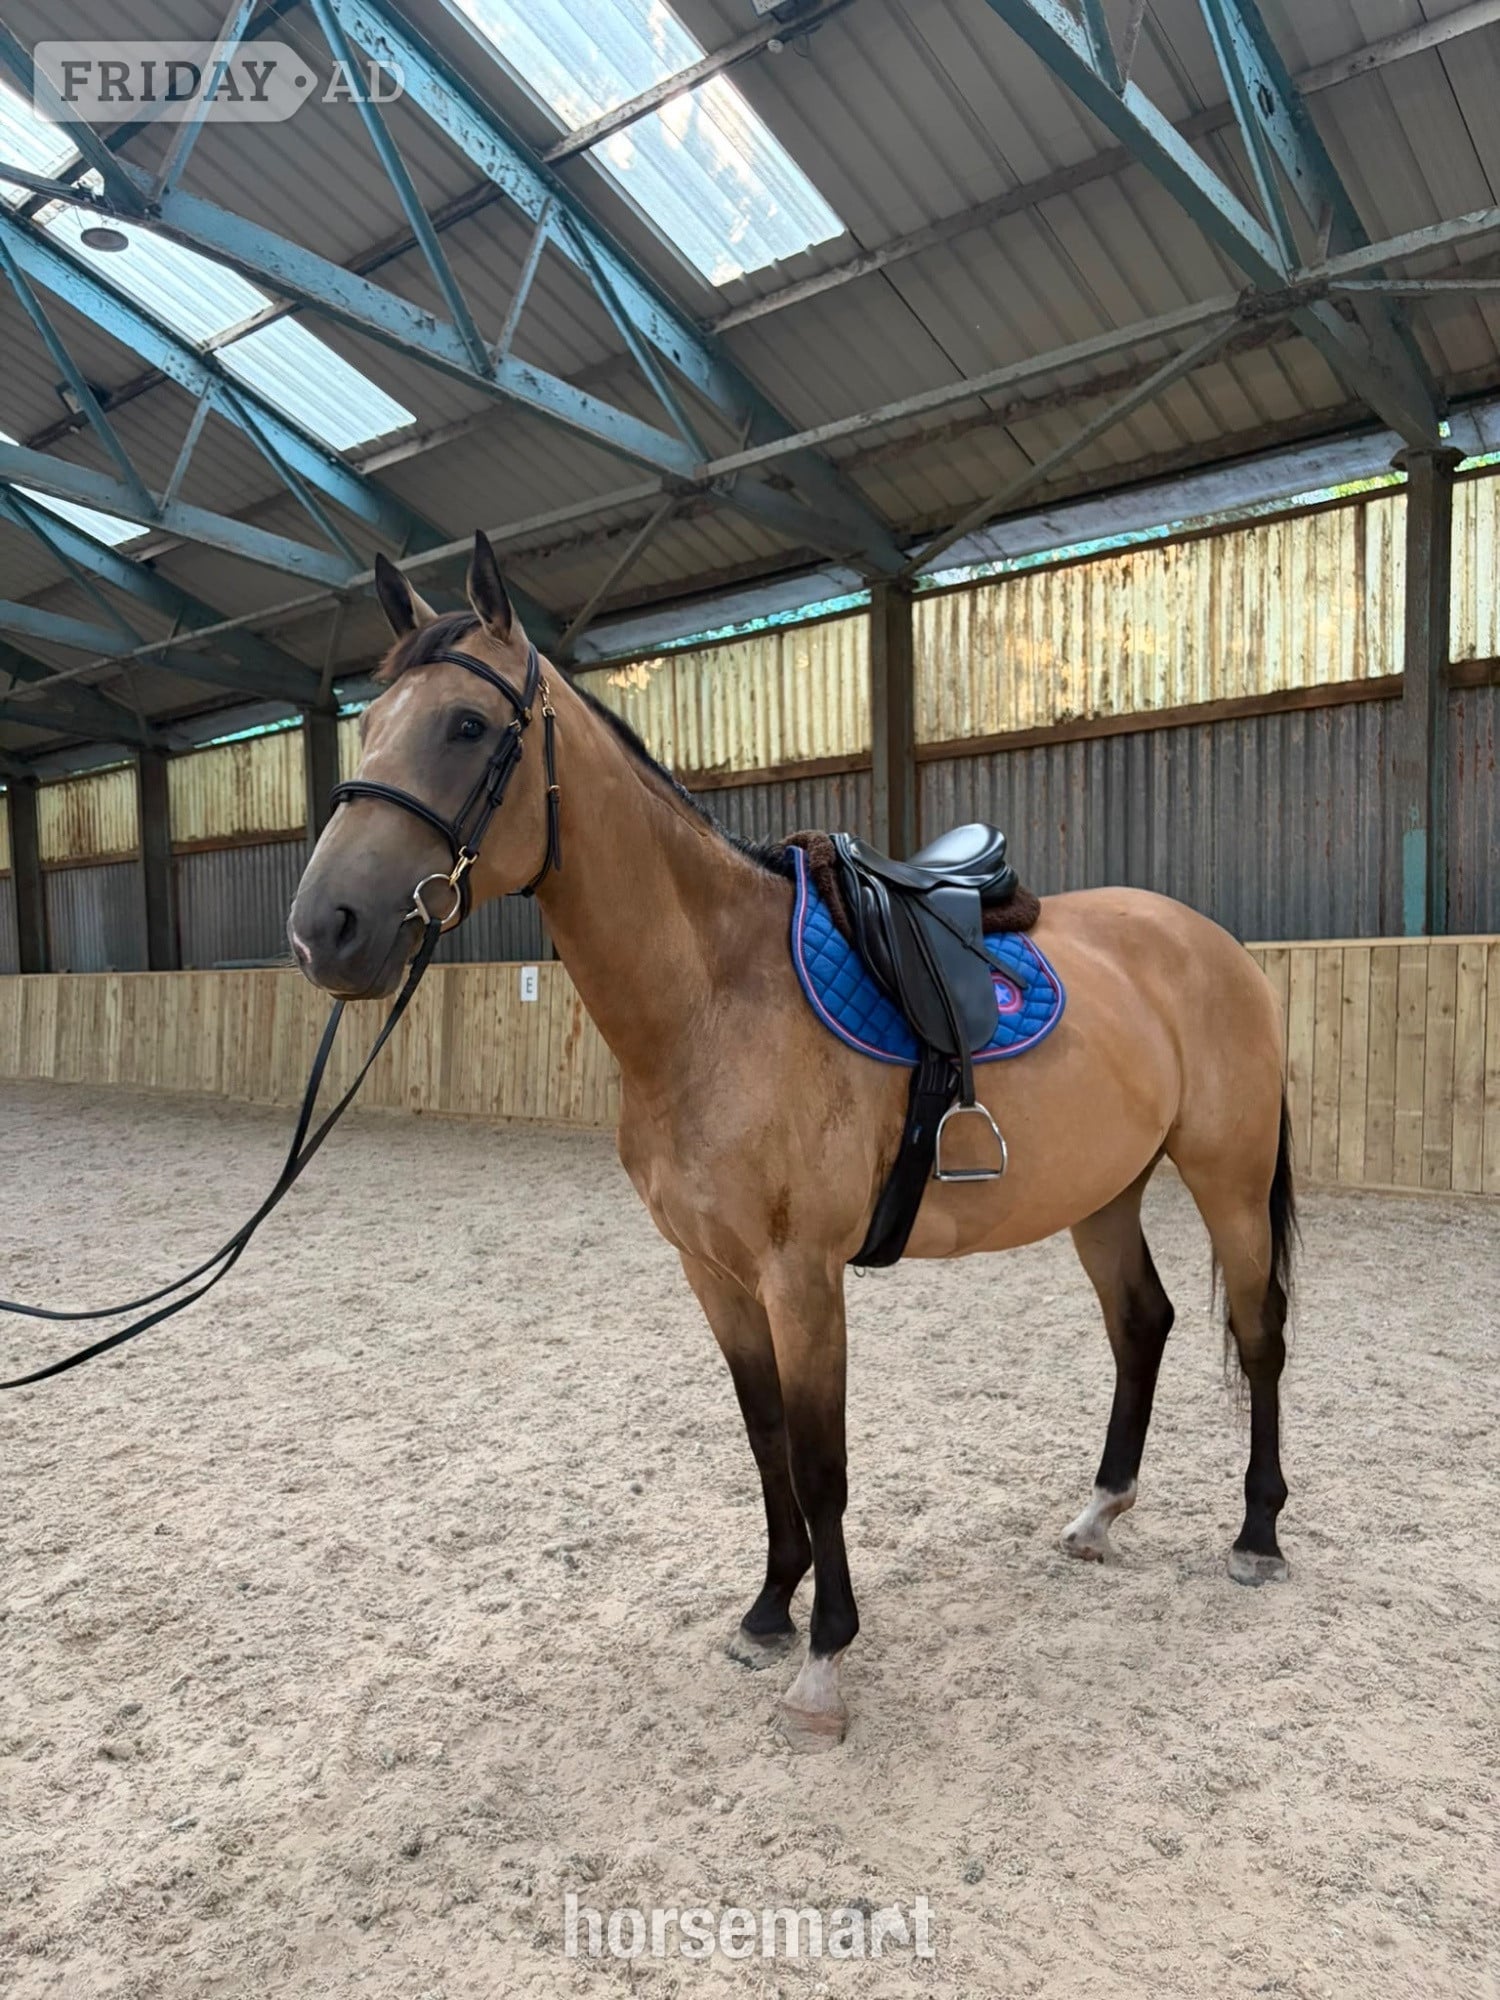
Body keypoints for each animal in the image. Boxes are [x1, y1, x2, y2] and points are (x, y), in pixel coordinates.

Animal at [288, 532, 1296, 1753]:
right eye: (370, 727)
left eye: (468, 726)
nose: (325, 928)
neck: (715, 998)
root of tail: (1209, 941)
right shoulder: (714, 1274)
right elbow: (765, 1439)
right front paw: (771, 1607)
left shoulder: (801, 1276)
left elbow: (821, 1463)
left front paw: (826, 1658)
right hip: (1102, 1190)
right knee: (1142, 1324)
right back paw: (1101, 1512)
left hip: (1227, 1177)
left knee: (1259, 1335)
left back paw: (1257, 1535)